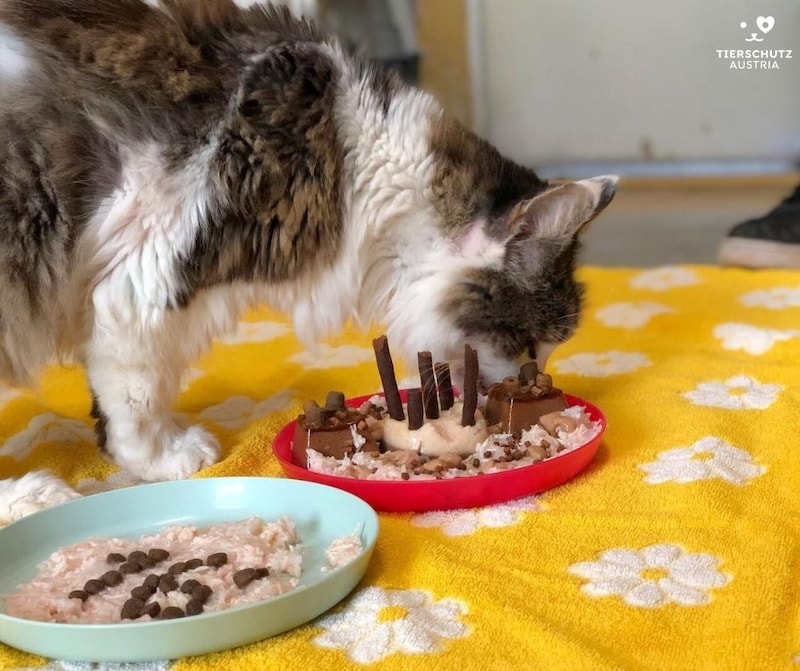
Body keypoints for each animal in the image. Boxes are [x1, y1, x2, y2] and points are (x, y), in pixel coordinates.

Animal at [0, 0, 620, 524]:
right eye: (529, 344)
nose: (537, 379)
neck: (357, 169)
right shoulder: (147, 274)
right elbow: (138, 390)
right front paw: (161, 456)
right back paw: (33, 494)